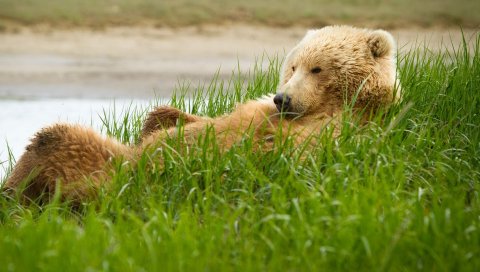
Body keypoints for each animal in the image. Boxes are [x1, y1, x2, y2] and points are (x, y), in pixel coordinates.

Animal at [2, 25, 402, 203]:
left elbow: (257, 151)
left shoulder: (329, 133)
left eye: (317, 68)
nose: (282, 99)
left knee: (55, 139)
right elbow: (189, 120)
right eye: (293, 66)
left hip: (103, 175)